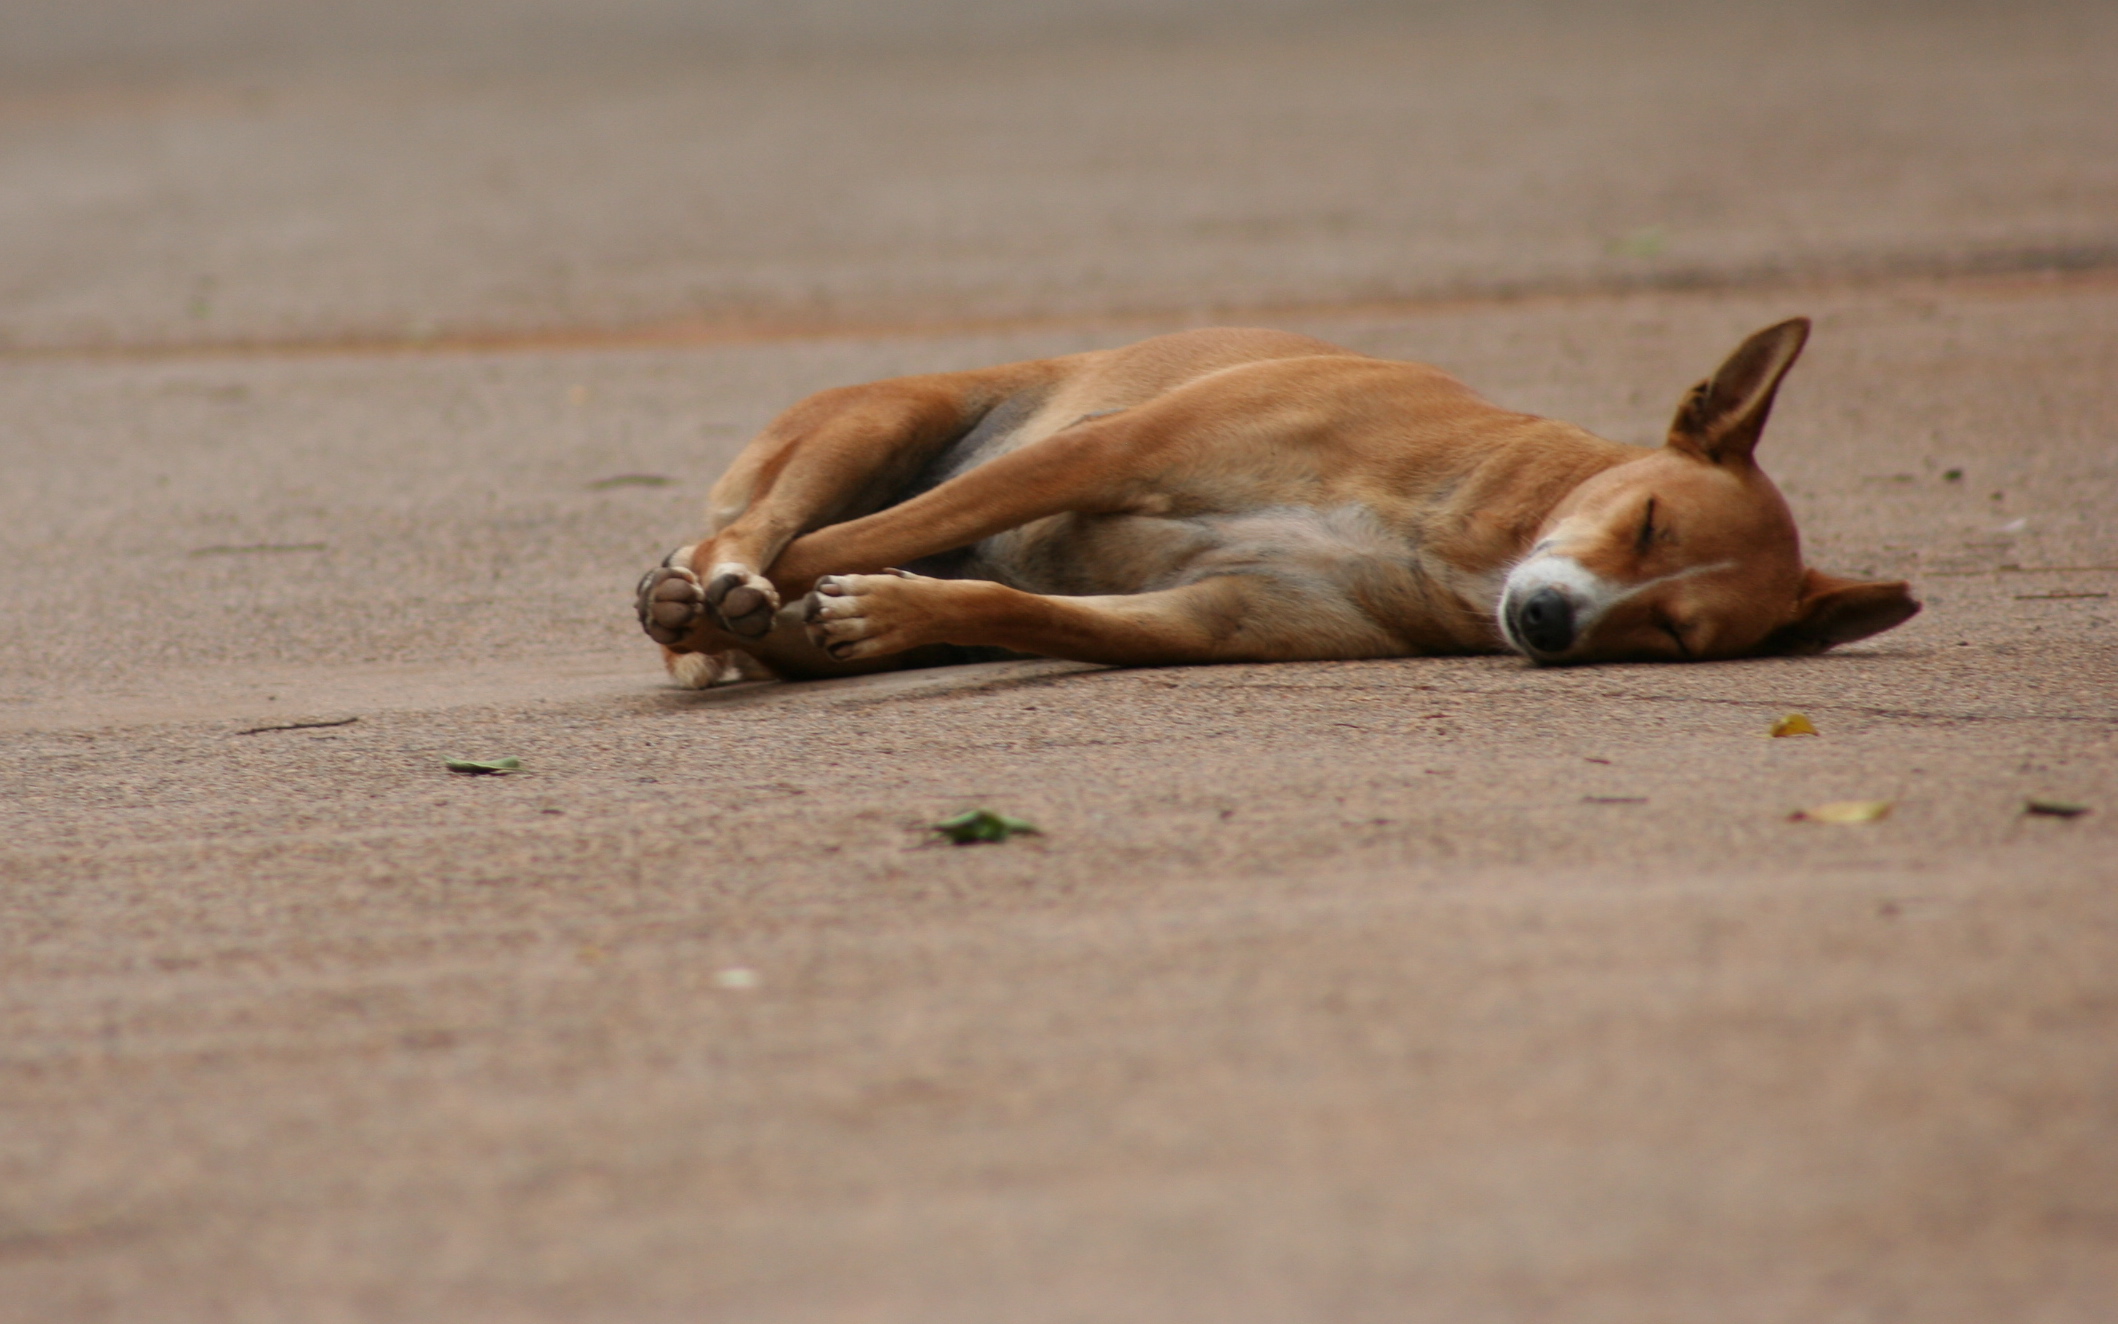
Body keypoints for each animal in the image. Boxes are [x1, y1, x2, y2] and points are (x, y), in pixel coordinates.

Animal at [631, 317, 1923, 682]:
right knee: (770, 526)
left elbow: (1024, 609)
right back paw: (705, 584)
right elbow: (859, 537)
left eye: (1673, 634)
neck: (1453, 532)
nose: (1548, 621)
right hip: (878, 424)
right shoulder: (1108, 453)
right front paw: (706, 592)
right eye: (1649, 521)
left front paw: (899, 607)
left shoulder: (1209, 619)